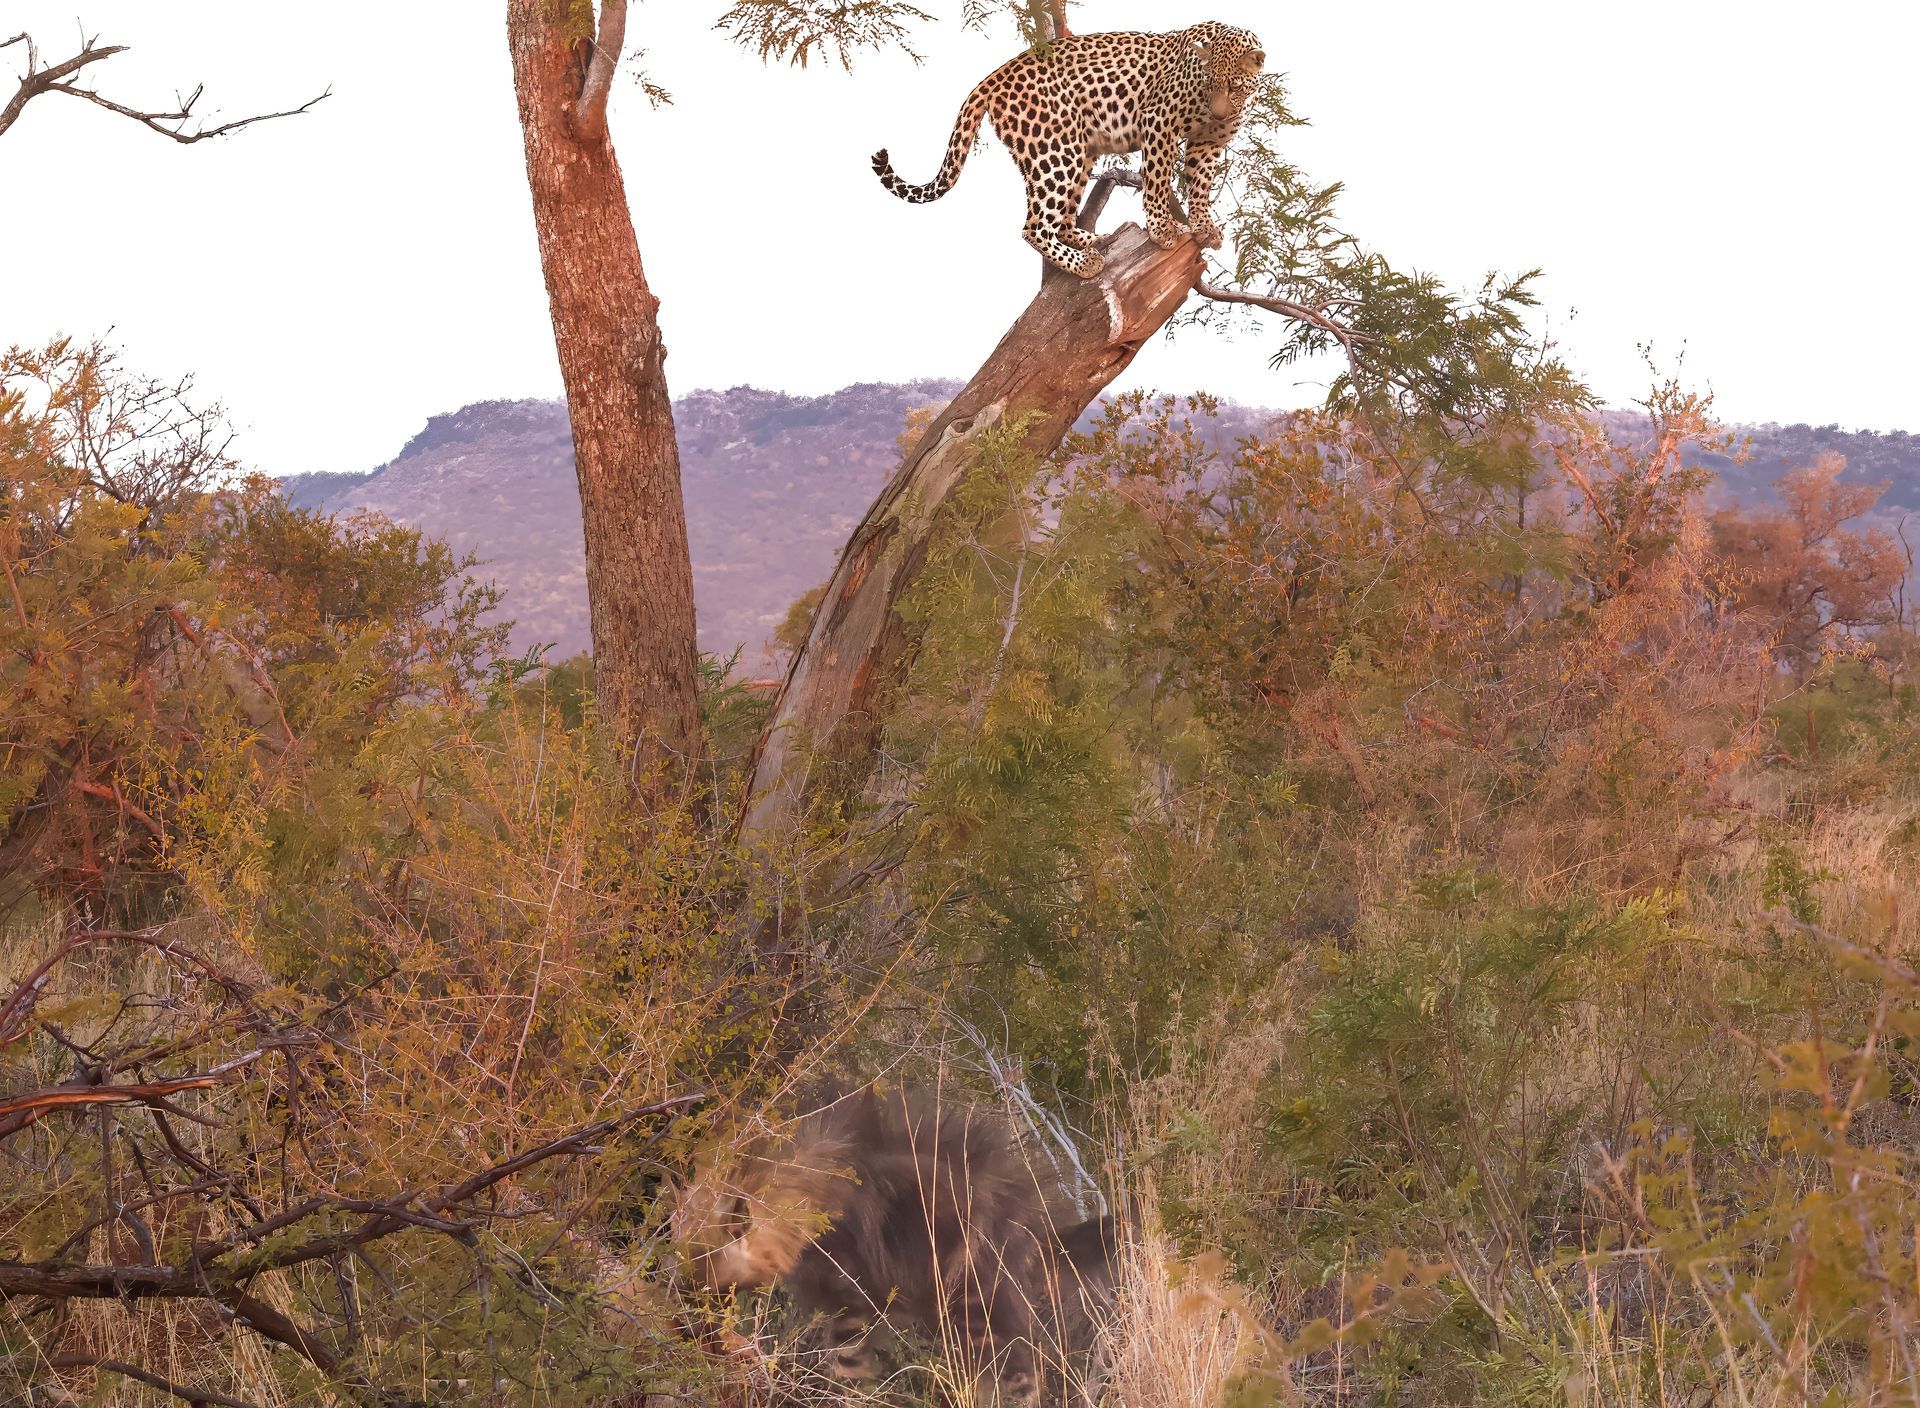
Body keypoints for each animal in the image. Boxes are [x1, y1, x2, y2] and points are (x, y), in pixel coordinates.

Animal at [875, 22, 1267, 276]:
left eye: (1233, 86)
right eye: (1208, 83)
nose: (1219, 111)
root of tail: (995, 75)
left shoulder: (1210, 140)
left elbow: (1200, 185)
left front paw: (1203, 225)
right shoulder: (1159, 121)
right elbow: (1157, 180)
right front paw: (1162, 229)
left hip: (1078, 150)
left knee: (1060, 219)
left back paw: (1093, 238)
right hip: (1055, 149)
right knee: (1033, 227)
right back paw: (1084, 263)